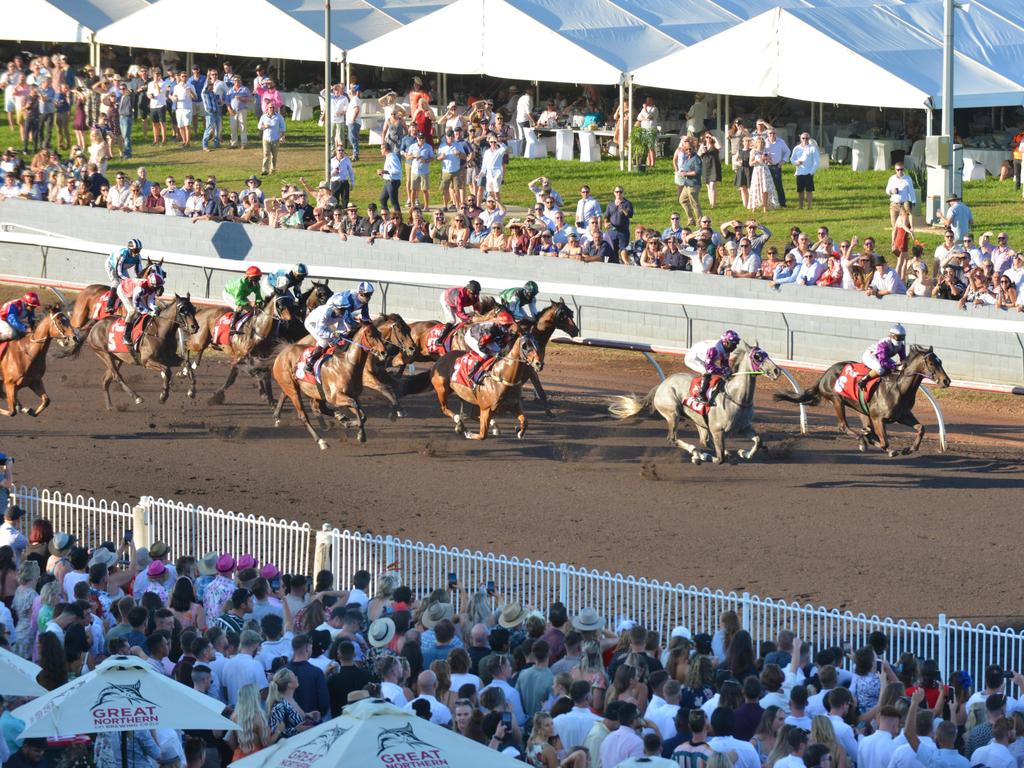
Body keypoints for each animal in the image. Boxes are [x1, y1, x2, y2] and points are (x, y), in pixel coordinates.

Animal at [67, 292, 199, 409]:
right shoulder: (147, 361)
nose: (195, 327)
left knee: (106, 380)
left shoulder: (169, 357)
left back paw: (110, 406)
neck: (160, 331)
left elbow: (186, 363)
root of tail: (96, 324)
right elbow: (167, 370)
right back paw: (136, 397)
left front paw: (192, 391)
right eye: (182, 310)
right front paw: (163, 396)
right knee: (117, 377)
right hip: (103, 353)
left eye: (193, 309)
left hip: (117, 358)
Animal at [272, 319, 387, 450]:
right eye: (370, 335)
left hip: (315, 391)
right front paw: (361, 435)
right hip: (292, 389)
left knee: (319, 407)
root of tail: (282, 353)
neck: (347, 364)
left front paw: (348, 422)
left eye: (379, 333)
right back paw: (321, 441)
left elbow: (362, 414)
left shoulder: (352, 395)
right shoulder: (335, 397)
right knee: (303, 415)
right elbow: (356, 408)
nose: (384, 353)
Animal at [606, 344, 782, 466]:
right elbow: (720, 458)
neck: (736, 397)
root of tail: (662, 384)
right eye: (758, 356)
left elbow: (758, 441)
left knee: (704, 441)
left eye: (766, 354)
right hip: (673, 413)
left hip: (699, 421)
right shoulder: (717, 430)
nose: (777, 371)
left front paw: (743, 453)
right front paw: (711, 457)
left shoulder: (744, 427)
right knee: (673, 438)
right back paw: (697, 454)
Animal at [774, 348, 950, 456]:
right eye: (932, 363)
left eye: (940, 361)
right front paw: (879, 444)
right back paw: (862, 440)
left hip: (860, 409)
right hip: (837, 400)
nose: (946, 381)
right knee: (843, 426)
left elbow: (921, 428)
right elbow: (884, 442)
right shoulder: (878, 417)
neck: (898, 388)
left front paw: (909, 449)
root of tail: (825, 374)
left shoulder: (902, 415)